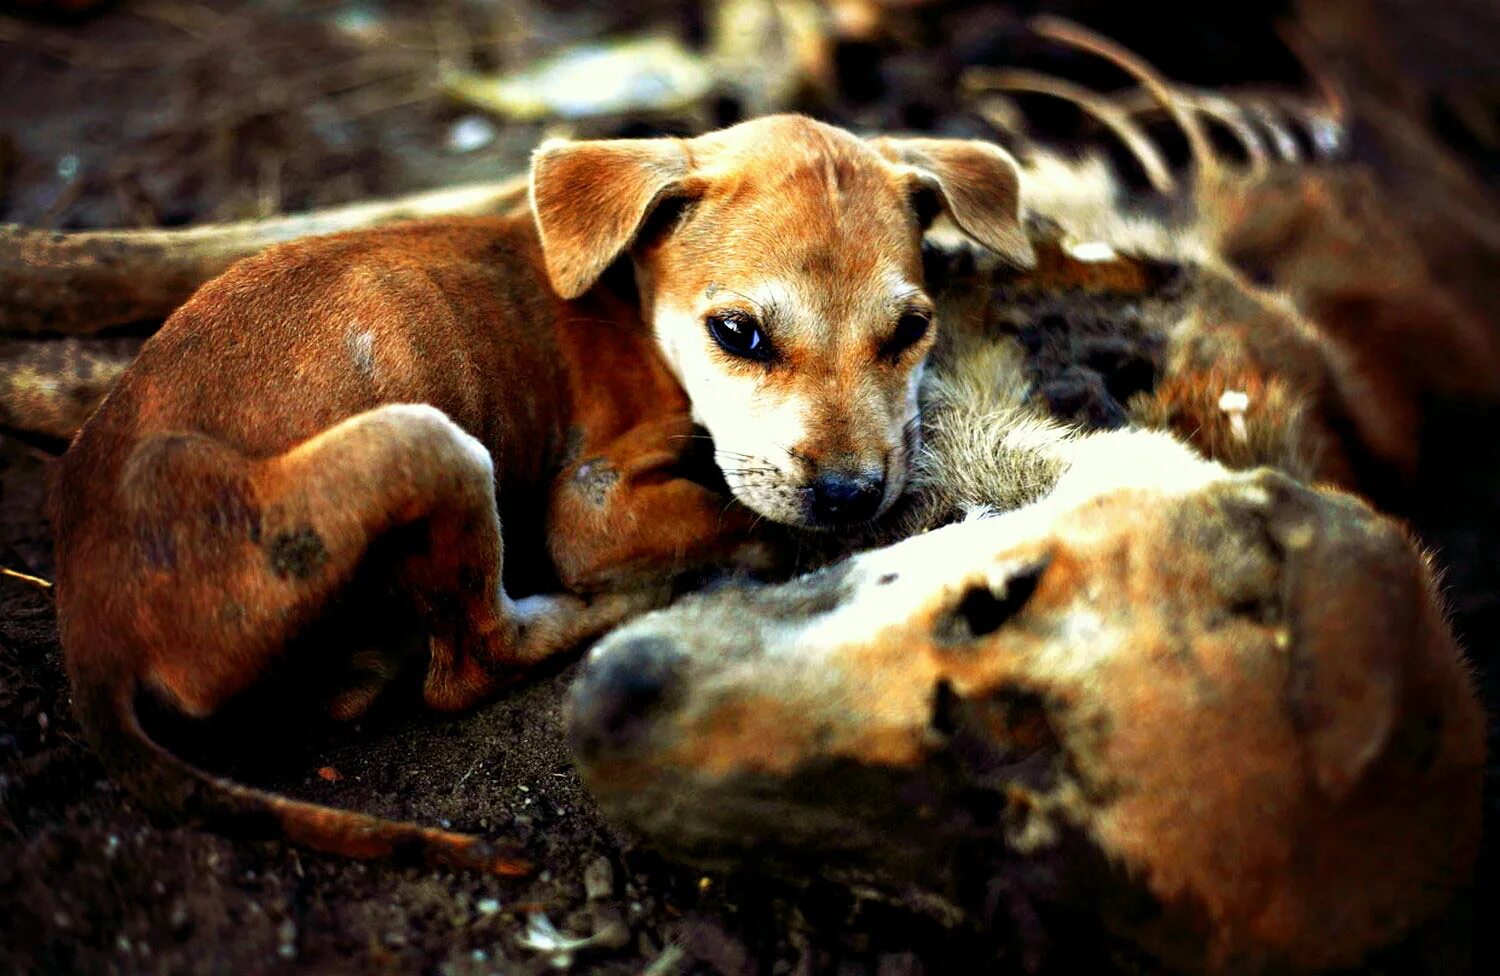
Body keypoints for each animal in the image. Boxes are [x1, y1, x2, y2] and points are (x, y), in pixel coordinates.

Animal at [46, 118, 1032, 875]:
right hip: (429, 445)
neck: (630, 301)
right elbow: (735, 515)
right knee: (471, 660)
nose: (850, 496)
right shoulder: (591, 508)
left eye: (909, 331)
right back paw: (628, 603)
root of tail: (93, 636)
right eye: (738, 333)